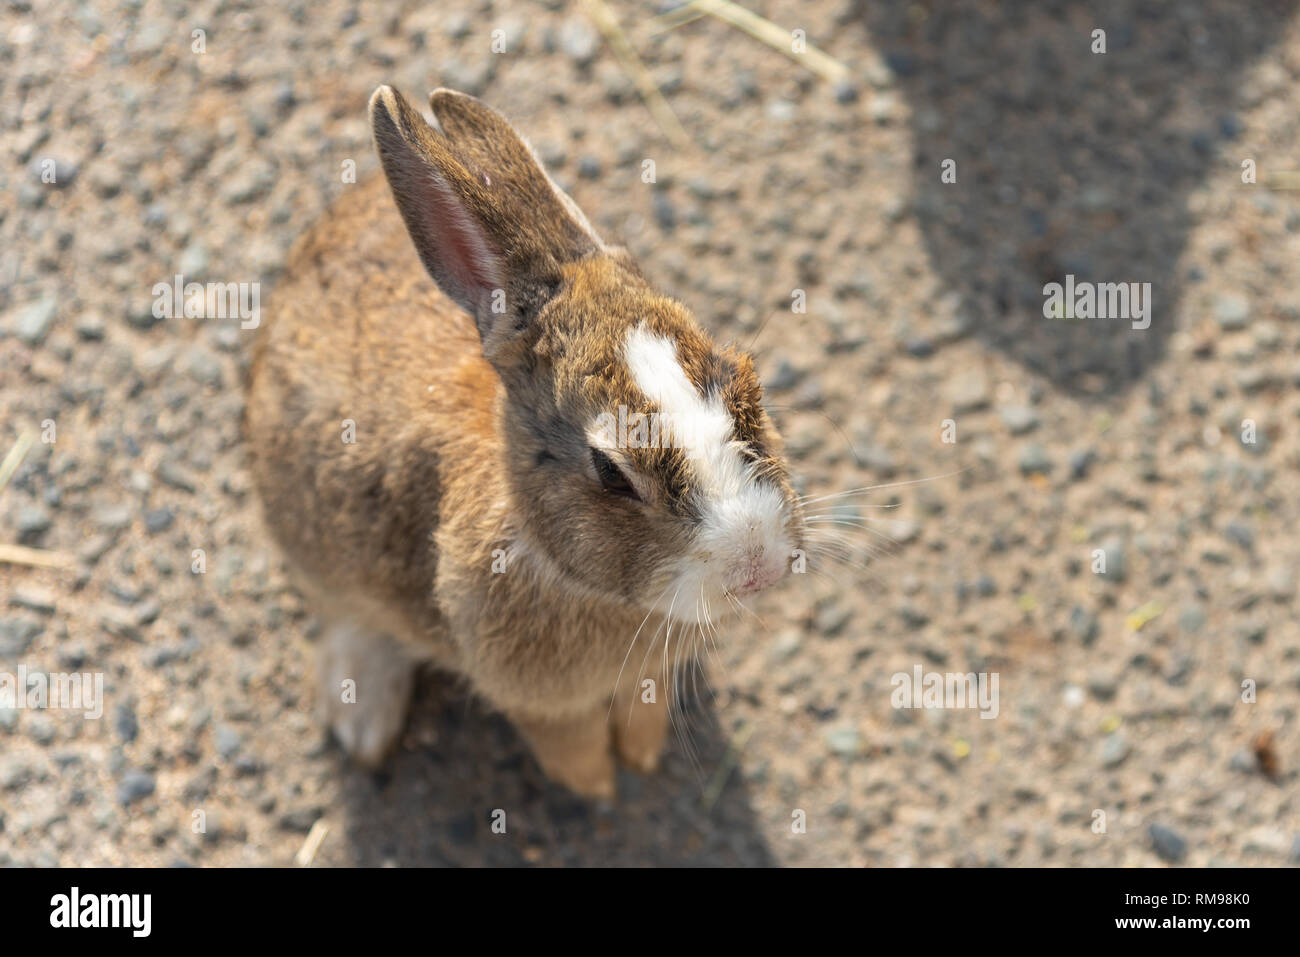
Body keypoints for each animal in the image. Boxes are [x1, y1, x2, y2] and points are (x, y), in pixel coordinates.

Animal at [245, 85, 805, 798]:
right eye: (610, 470)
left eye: (743, 379)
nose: (758, 565)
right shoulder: (537, 701)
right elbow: (568, 742)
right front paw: (597, 787)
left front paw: (641, 755)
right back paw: (363, 721)